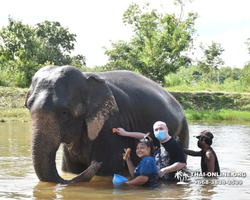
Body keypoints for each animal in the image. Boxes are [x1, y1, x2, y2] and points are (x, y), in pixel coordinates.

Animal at [25, 65, 189, 184]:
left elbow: (106, 170)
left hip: (183, 131)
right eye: (28, 107)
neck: (87, 79)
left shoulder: (111, 126)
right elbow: (71, 170)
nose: (96, 163)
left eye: (64, 113)